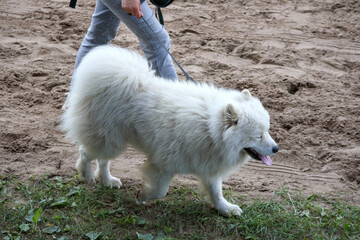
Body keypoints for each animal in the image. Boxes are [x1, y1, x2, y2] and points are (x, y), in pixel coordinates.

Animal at [62, 45, 278, 216]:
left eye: (267, 131)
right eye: (258, 136)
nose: (276, 149)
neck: (210, 129)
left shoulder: (208, 165)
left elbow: (216, 192)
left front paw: (225, 209)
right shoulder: (164, 165)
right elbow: (160, 191)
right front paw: (143, 196)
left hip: (113, 141)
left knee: (103, 160)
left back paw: (107, 181)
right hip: (109, 140)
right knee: (86, 153)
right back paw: (88, 176)